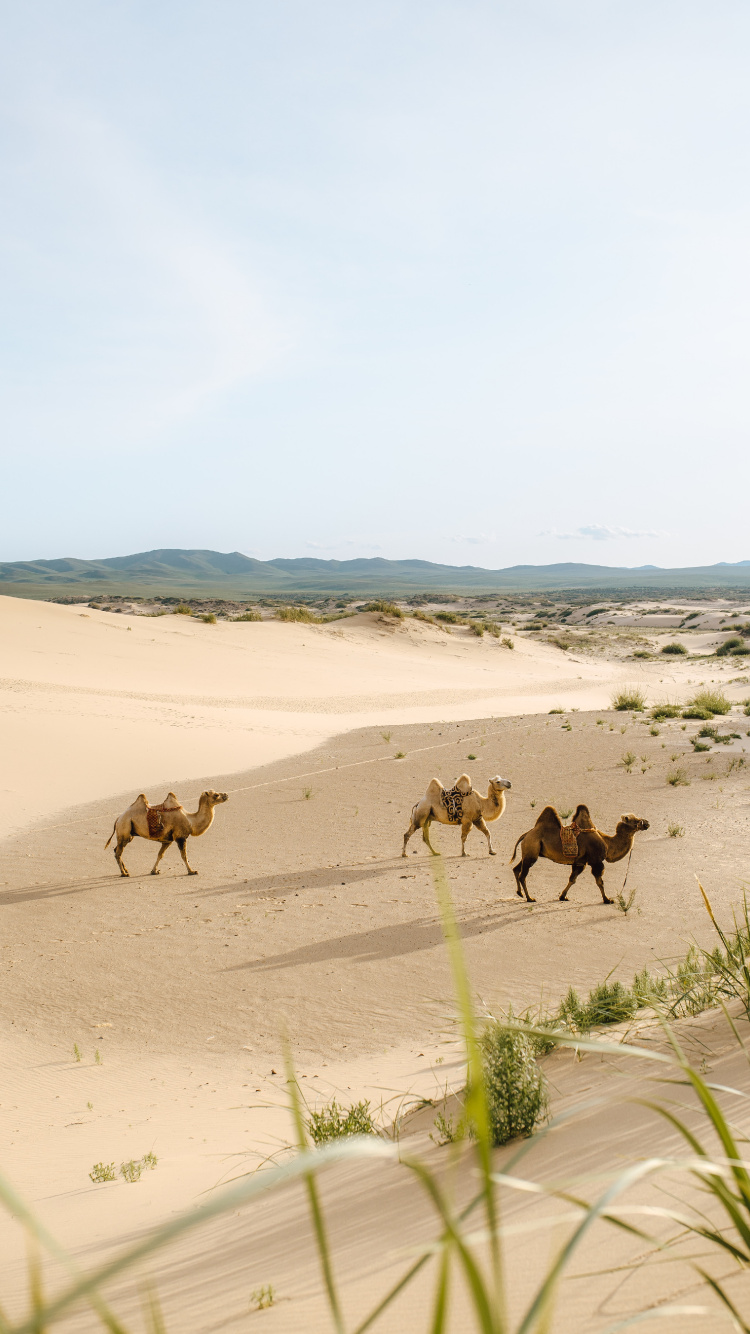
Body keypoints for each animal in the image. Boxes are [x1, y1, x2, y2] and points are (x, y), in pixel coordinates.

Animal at [510, 803, 649, 904]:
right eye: (635, 820)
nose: (647, 823)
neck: (607, 843)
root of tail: (526, 834)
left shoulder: (581, 862)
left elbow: (572, 879)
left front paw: (563, 896)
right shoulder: (596, 861)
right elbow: (600, 881)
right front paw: (607, 899)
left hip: (529, 853)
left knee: (516, 869)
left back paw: (520, 893)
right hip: (532, 851)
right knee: (522, 875)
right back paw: (530, 898)